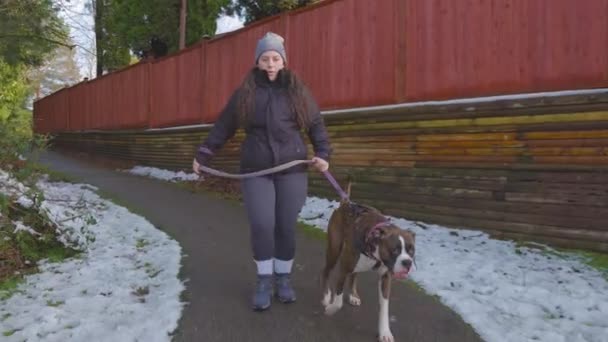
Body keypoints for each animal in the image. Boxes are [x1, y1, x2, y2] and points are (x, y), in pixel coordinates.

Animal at [320, 180, 416, 340]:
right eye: (394, 250)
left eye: (411, 250)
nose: (407, 263)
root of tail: (346, 203)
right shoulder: (343, 267)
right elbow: (339, 298)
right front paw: (332, 308)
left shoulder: (385, 278)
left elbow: (384, 307)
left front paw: (385, 332)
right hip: (334, 250)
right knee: (326, 271)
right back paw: (326, 296)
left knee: (354, 275)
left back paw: (353, 295)